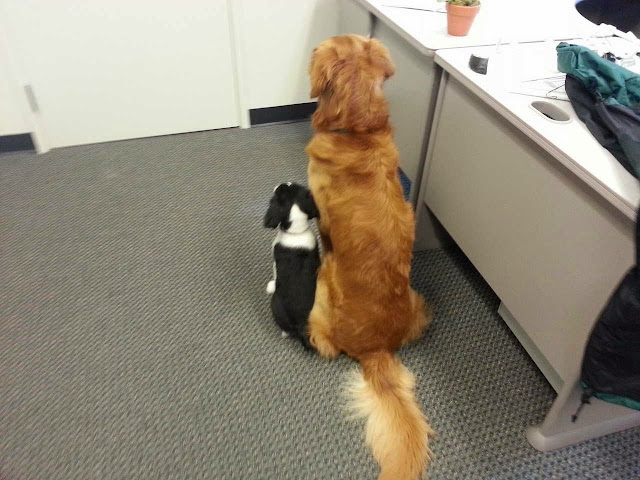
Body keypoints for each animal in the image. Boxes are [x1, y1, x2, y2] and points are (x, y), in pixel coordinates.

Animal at [262, 182, 320, 346]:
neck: (296, 232)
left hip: (275, 304)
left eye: (281, 190)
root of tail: (301, 324)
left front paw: (270, 286)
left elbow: (275, 277)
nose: (280, 184)